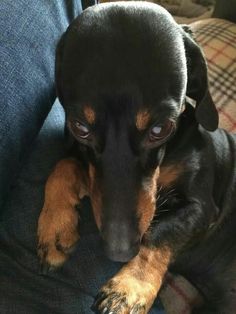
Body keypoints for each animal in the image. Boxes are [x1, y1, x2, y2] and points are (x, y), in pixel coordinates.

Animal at [37, 1, 236, 312]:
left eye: (161, 128)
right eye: (79, 127)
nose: (119, 250)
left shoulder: (203, 207)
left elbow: (161, 233)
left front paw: (128, 287)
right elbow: (64, 164)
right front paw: (55, 225)